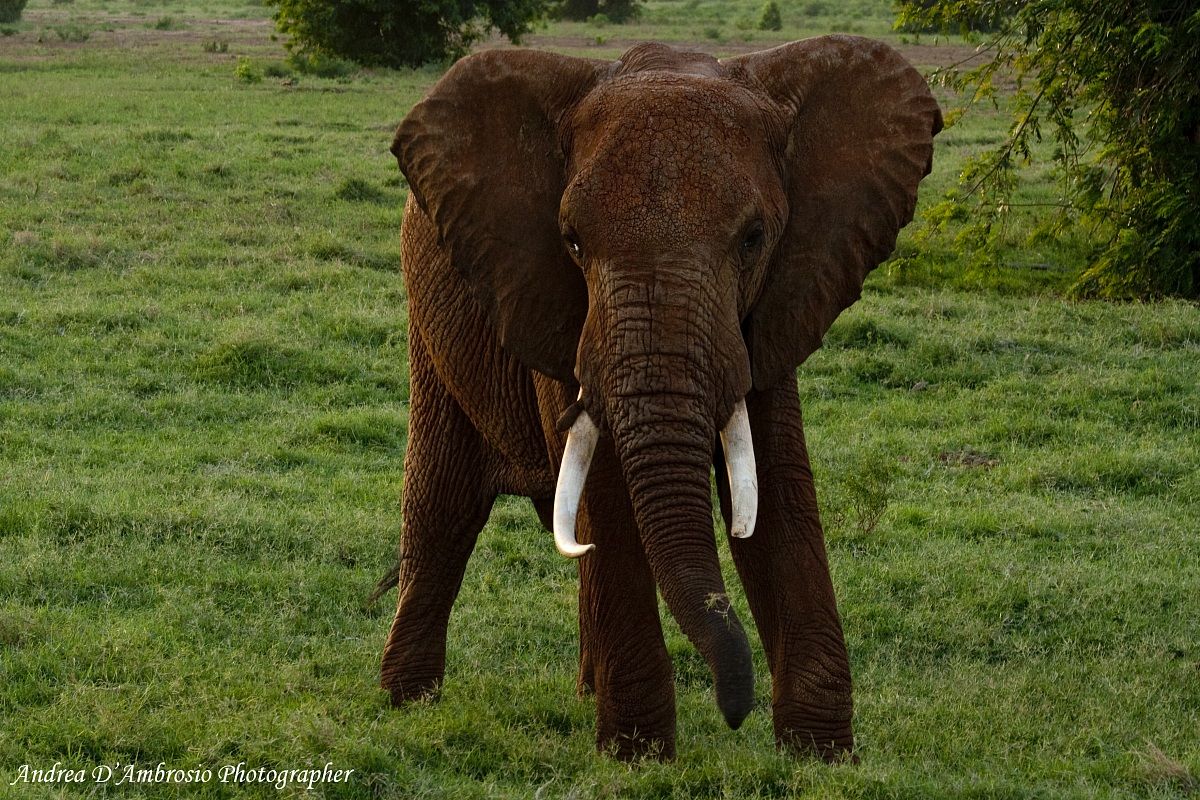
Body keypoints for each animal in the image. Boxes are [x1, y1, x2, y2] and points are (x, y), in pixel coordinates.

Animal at [382, 36, 942, 761]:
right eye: (572, 240)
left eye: (754, 238)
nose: (736, 712)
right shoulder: (550, 297)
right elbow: (608, 494)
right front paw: (638, 756)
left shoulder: (780, 297)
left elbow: (777, 487)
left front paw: (820, 756)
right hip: (431, 327)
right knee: (444, 505)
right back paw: (406, 703)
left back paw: (583, 694)